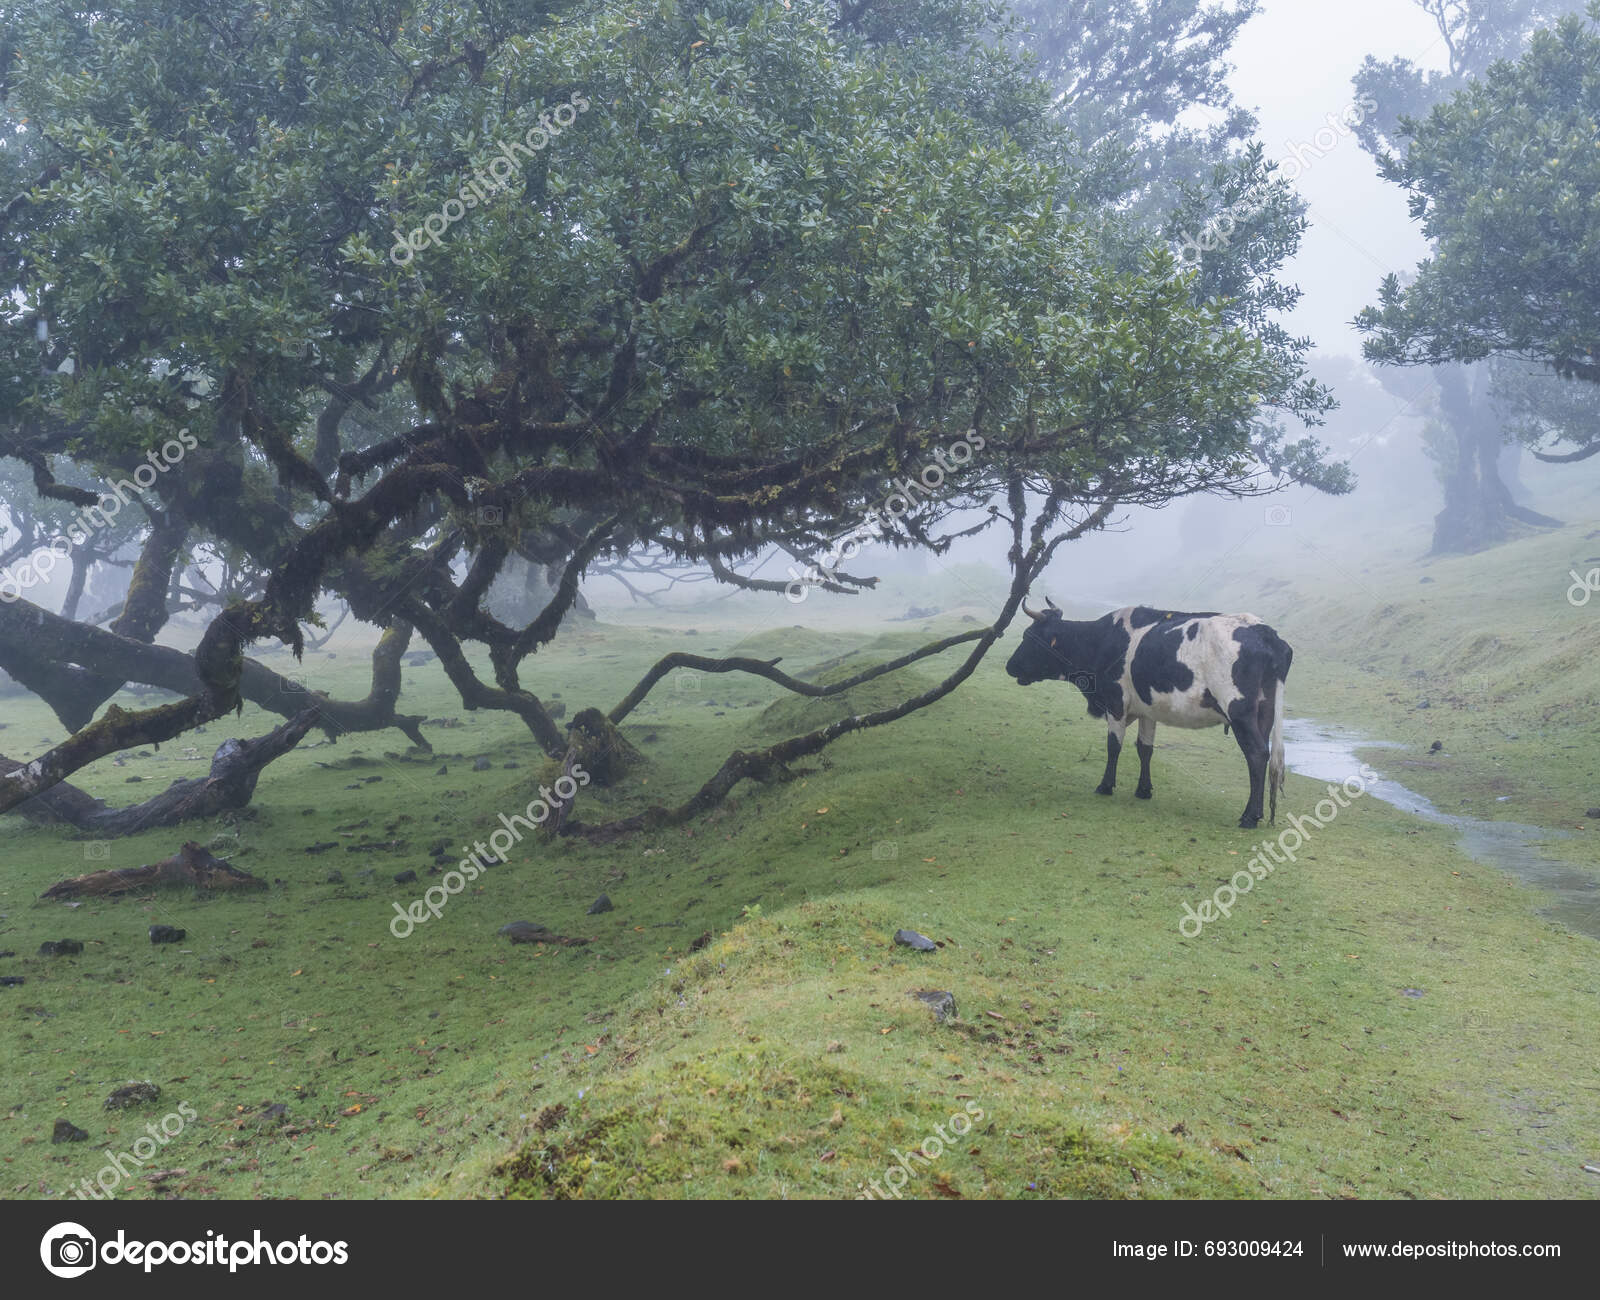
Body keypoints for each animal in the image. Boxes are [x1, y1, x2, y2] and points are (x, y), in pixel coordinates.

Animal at [1004, 600, 1292, 828]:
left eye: (1029, 637)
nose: (1009, 666)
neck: (1101, 640)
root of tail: (1265, 632)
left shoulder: (1116, 702)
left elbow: (1113, 745)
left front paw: (1105, 785)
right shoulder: (1147, 709)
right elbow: (1145, 748)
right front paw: (1143, 790)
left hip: (1239, 710)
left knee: (1256, 754)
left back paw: (1249, 816)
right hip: (1265, 712)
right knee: (1264, 756)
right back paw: (1257, 813)